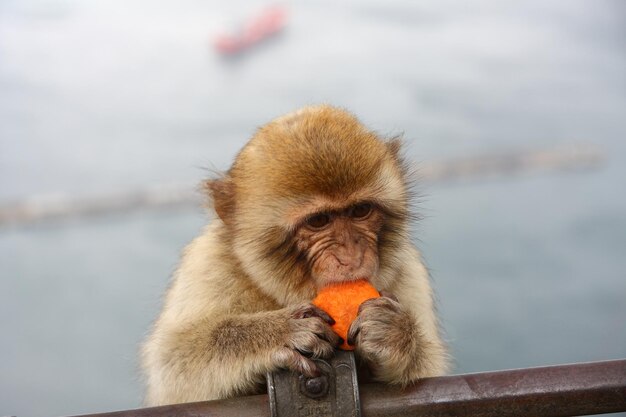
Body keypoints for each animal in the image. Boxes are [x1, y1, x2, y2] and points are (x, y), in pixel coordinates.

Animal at [139, 105, 446, 406]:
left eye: (360, 211)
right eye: (318, 220)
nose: (351, 255)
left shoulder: (408, 270)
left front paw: (394, 332)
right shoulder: (207, 262)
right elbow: (173, 364)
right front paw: (278, 333)